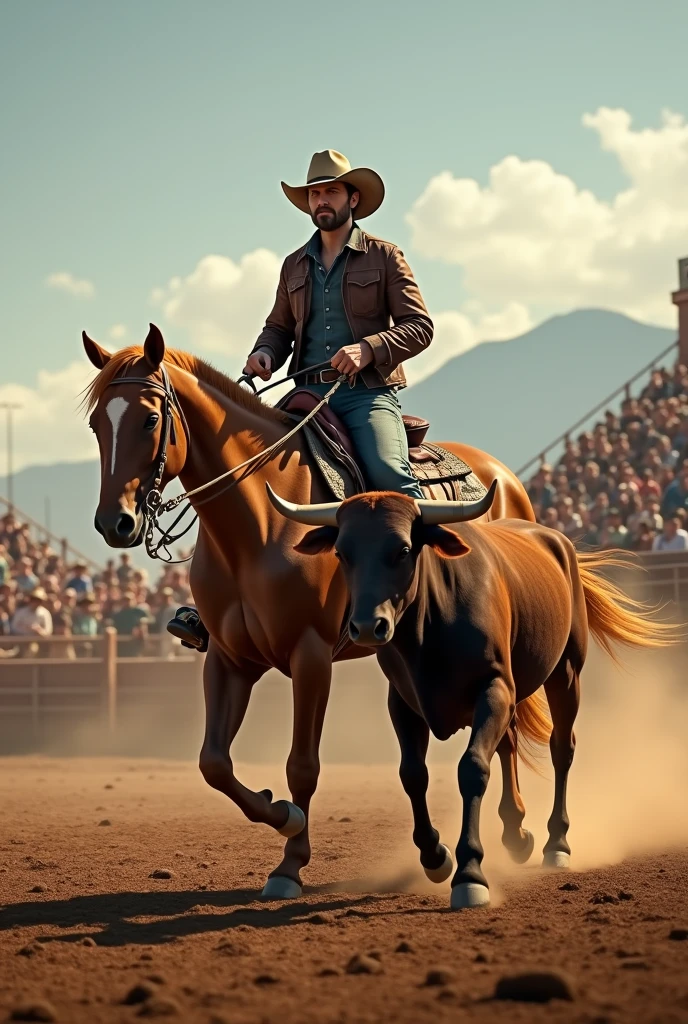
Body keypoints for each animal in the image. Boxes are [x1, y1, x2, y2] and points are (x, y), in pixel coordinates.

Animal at [83, 323, 536, 901]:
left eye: (150, 418)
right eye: (97, 424)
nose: (114, 523)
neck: (258, 527)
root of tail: (504, 477)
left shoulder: (311, 657)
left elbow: (303, 765)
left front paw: (290, 862)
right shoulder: (228, 659)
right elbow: (214, 762)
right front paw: (278, 811)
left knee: (510, 726)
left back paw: (518, 832)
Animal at [268, 491, 675, 909]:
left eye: (403, 549)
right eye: (342, 552)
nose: (367, 626)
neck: (433, 624)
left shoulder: (494, 689)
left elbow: (473, 768)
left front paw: (470, 873)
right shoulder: (404, 703)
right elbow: (413, 774)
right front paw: (436, 856)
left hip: (566, 672)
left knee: (561, 747)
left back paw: (556, 844)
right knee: (509, 743)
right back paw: (516, 834)